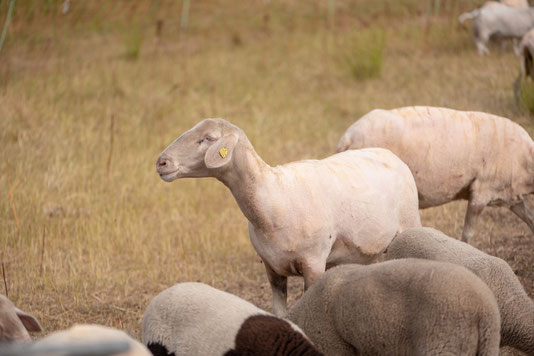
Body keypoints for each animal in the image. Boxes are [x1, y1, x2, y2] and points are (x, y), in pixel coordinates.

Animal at [155, 119, 422, 314]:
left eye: (209, 138)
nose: (161, 163)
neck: (274, 196)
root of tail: (389, 154)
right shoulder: (272, 267)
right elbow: (280, 314)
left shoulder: (314, 262)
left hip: (410, 224)